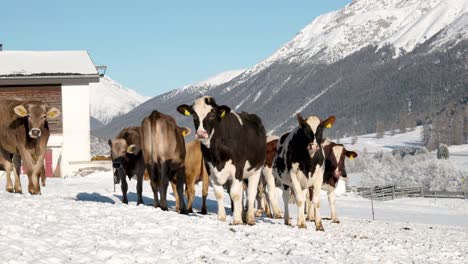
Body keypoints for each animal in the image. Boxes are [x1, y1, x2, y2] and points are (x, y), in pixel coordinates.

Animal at [176, 96, 266, 226]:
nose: (201, 134)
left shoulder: (238, 169)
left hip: (256, 170)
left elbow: (235, 194)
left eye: (212, 114)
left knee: (251, 192)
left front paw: (237, 220)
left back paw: (249, 218)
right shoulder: (210, 169)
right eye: (194, 115)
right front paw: (222, 217)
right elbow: (219, 193)